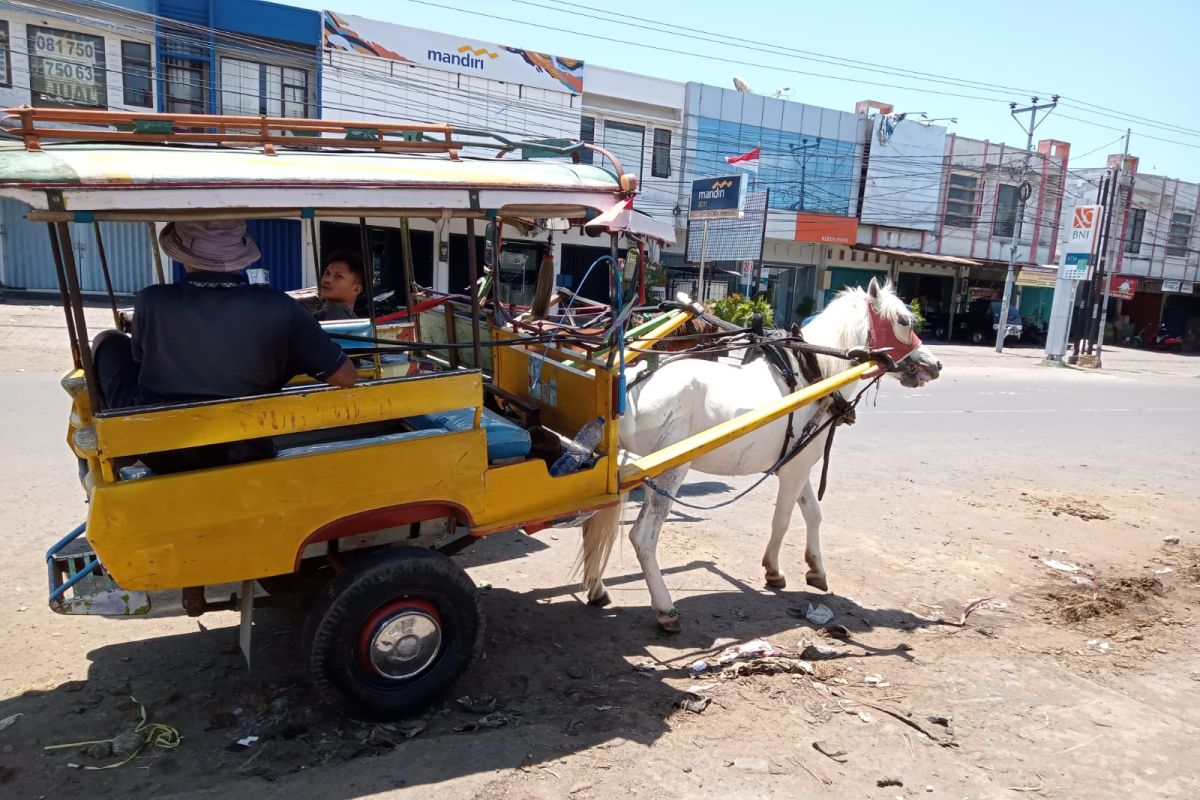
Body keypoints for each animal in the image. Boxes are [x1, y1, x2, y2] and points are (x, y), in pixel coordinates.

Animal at [578, 281, 936, 633]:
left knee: (593, 525)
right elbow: (783, 519)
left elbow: (813, 513)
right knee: (643, 536)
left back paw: (597, 589)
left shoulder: (797, 460)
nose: (935, 365)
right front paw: (774, 570)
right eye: (904, 321)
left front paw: (816, 569)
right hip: (670, 469)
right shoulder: (795, 469)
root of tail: (630, 386)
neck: (814, 374)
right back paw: (665, 609)